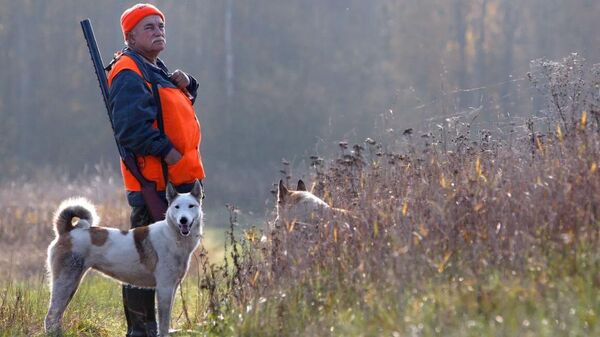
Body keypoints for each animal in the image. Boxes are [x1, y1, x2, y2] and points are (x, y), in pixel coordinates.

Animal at [44, 181, 204, 336]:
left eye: (191, 206)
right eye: (177, 207)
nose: (183, 220)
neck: (172, 235)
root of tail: (68, 231)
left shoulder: (172, 287)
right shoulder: (164, 288)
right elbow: (164, 324)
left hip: (71, 285)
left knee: (56, 315)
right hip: (66, 282)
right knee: (51, 315)